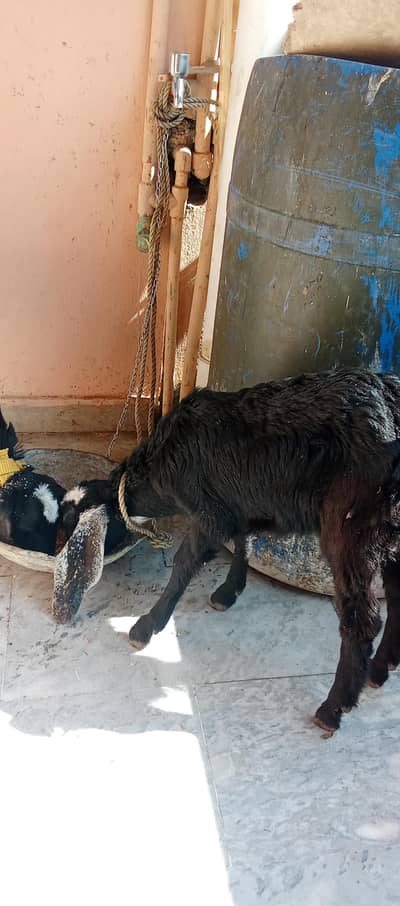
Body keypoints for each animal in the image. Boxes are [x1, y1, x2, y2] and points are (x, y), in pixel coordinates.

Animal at [58, 367, 400, 735]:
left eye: (69, 524)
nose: (56, 550)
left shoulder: (208, 513)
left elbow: (185, 563)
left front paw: (147, 625)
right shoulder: (237, 504)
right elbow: (243, 540)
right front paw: (229, 591)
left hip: (352, 528)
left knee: (362, 618)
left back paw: (333, 707)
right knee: (396, 595)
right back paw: (381, 667)